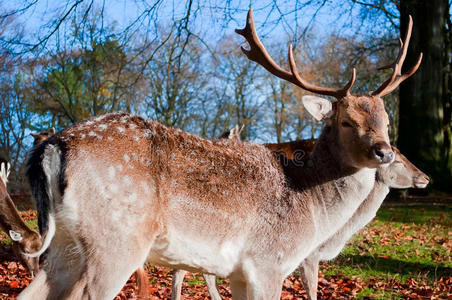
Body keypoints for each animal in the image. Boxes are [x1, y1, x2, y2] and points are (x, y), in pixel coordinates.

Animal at [17, 8, 420, 298]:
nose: (383, 152)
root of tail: (52, 146)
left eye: (386, 122)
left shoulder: (239, 274)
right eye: (347, 121)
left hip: (66, 242)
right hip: (117, 239)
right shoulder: (268, 262)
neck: (314, 211)